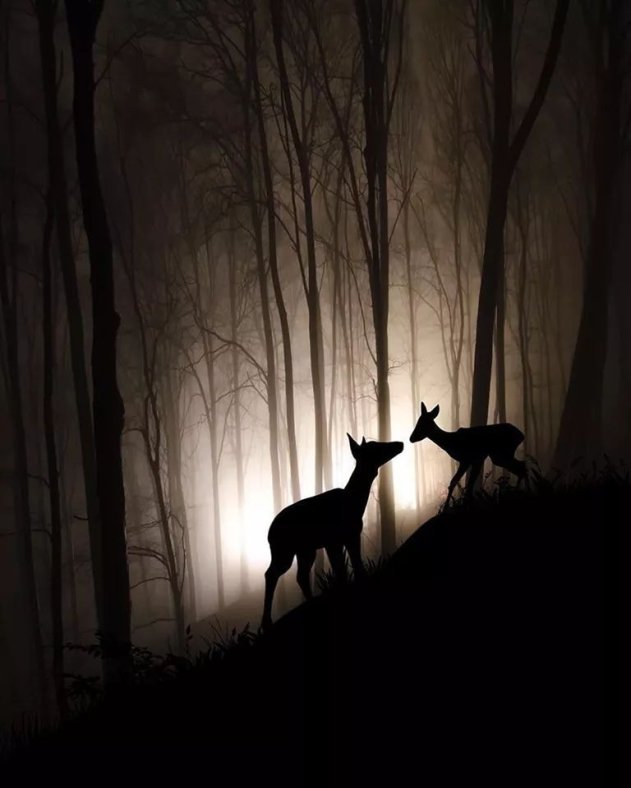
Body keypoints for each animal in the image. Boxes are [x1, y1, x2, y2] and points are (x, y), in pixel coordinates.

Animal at [261, 434, 404, 631]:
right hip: (283, 550)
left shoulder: (350, 536)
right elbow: (341, 571)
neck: (355, 503)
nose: (399, 443)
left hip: (306, 550)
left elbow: (355, 565)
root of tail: (269, 534)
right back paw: (267, 622)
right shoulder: (334, 541)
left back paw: (311, 603)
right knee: (271, 574)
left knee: (300, 576)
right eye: (375, 447)